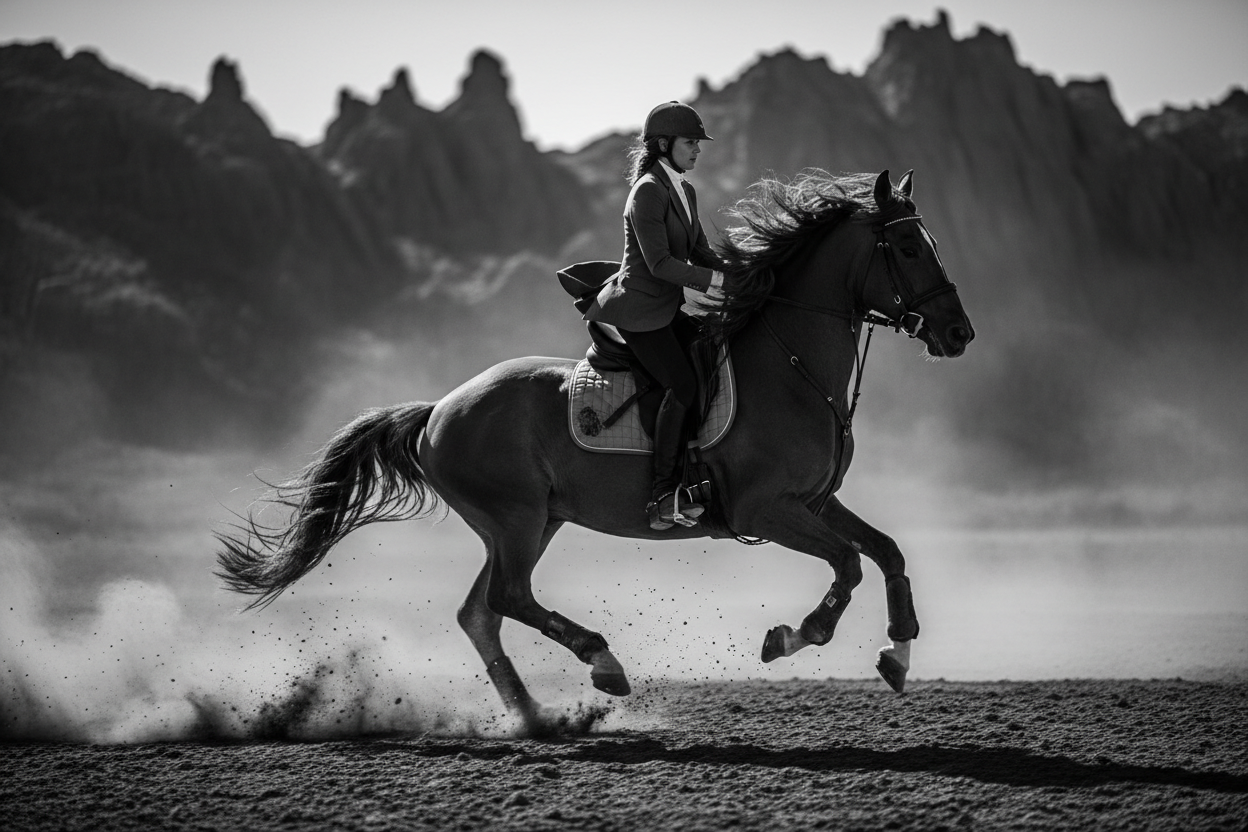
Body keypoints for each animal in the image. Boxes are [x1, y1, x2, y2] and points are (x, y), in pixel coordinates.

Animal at [216, 169, 974, 729]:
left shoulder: (814, 502)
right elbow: (848, 565)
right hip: (518, 519)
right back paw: (601, 664)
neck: (791, 366)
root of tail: (439, 410)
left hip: (532, 522)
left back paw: (537, 717)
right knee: (510, 598)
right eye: (909, 248)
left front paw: (899, 652)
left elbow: (886, 552)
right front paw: (794, 635)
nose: (958, 333)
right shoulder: (765, 510)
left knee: (482, 611)